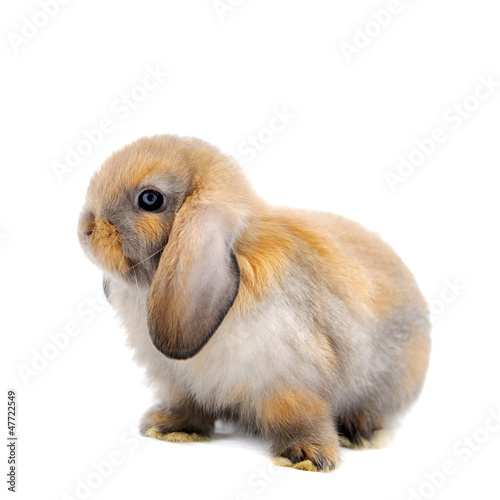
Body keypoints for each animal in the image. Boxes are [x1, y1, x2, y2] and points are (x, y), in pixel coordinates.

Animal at [77, 134, 430, 472]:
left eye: (150, 199)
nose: (85, 228)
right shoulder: (178, 383)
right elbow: (187, 405)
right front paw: (169, 428)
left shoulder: (289, 380)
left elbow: (301, 417)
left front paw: (305, 456)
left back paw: (362, 434)